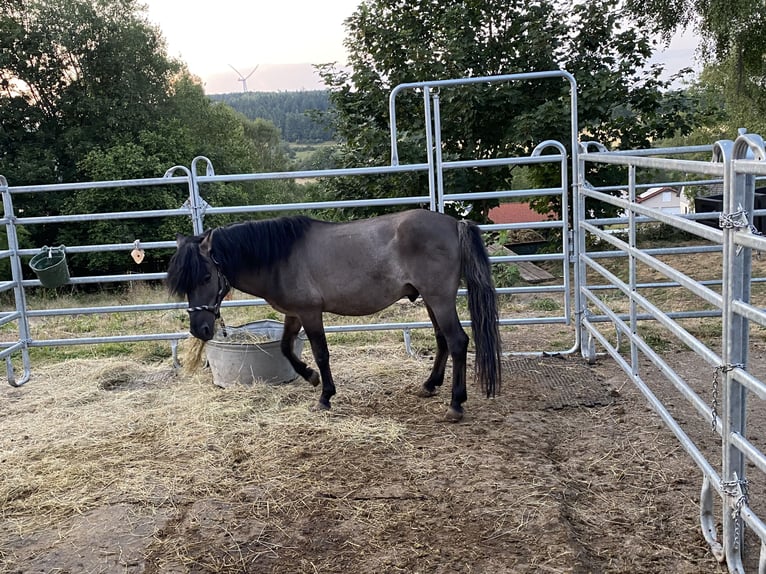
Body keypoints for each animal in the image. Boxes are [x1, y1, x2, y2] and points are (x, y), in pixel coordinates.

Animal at [166, 209, 502, 421]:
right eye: (184, 284)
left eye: (206, 277)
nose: (200, 329)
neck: (280, 257)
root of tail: (454, 224)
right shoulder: (294, 314)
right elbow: (286, 347)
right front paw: (311, 378)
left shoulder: (311, 313)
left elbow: (321, 353)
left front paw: (325, 397)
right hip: (431, 300)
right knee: (442, 340)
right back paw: (430, 385)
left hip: (439, 299)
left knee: (458, 342)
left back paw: (456, 404)